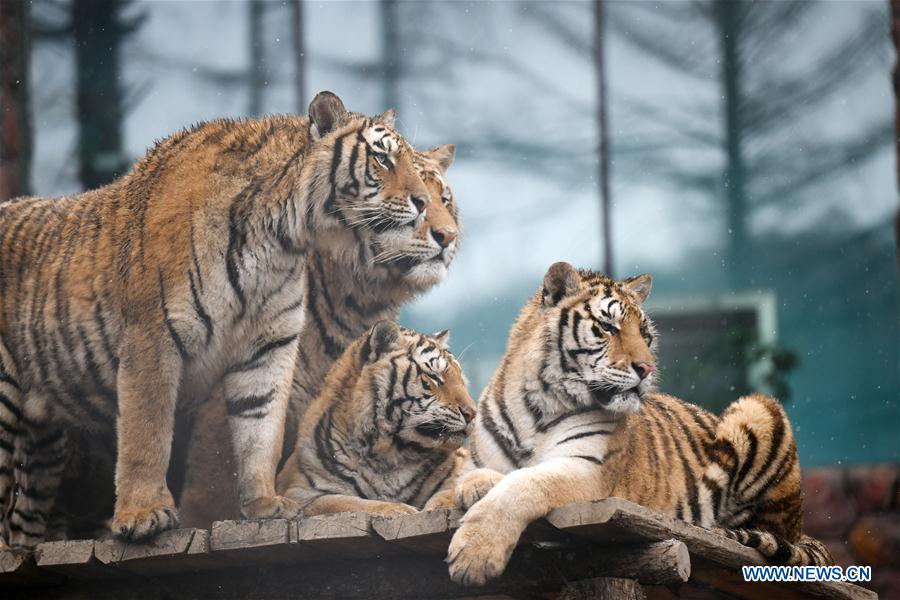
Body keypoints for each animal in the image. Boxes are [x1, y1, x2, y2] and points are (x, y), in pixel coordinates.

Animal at [276, 321, 475, 516]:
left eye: (461, 379)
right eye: (434, 377)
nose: (472, 414)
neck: (389, 455)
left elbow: (452, 489)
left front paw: (440, 506)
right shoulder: (302, 494)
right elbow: (352, 503)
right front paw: (399, 509)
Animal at [446, 261, 834, 586]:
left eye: (645, 335)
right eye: (608, 327)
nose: (647, 369)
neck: (540, 403)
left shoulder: (587, 470)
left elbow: (524, 485)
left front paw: (474, 556)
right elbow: (475, 477)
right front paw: (475, 486)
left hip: (760, 409)